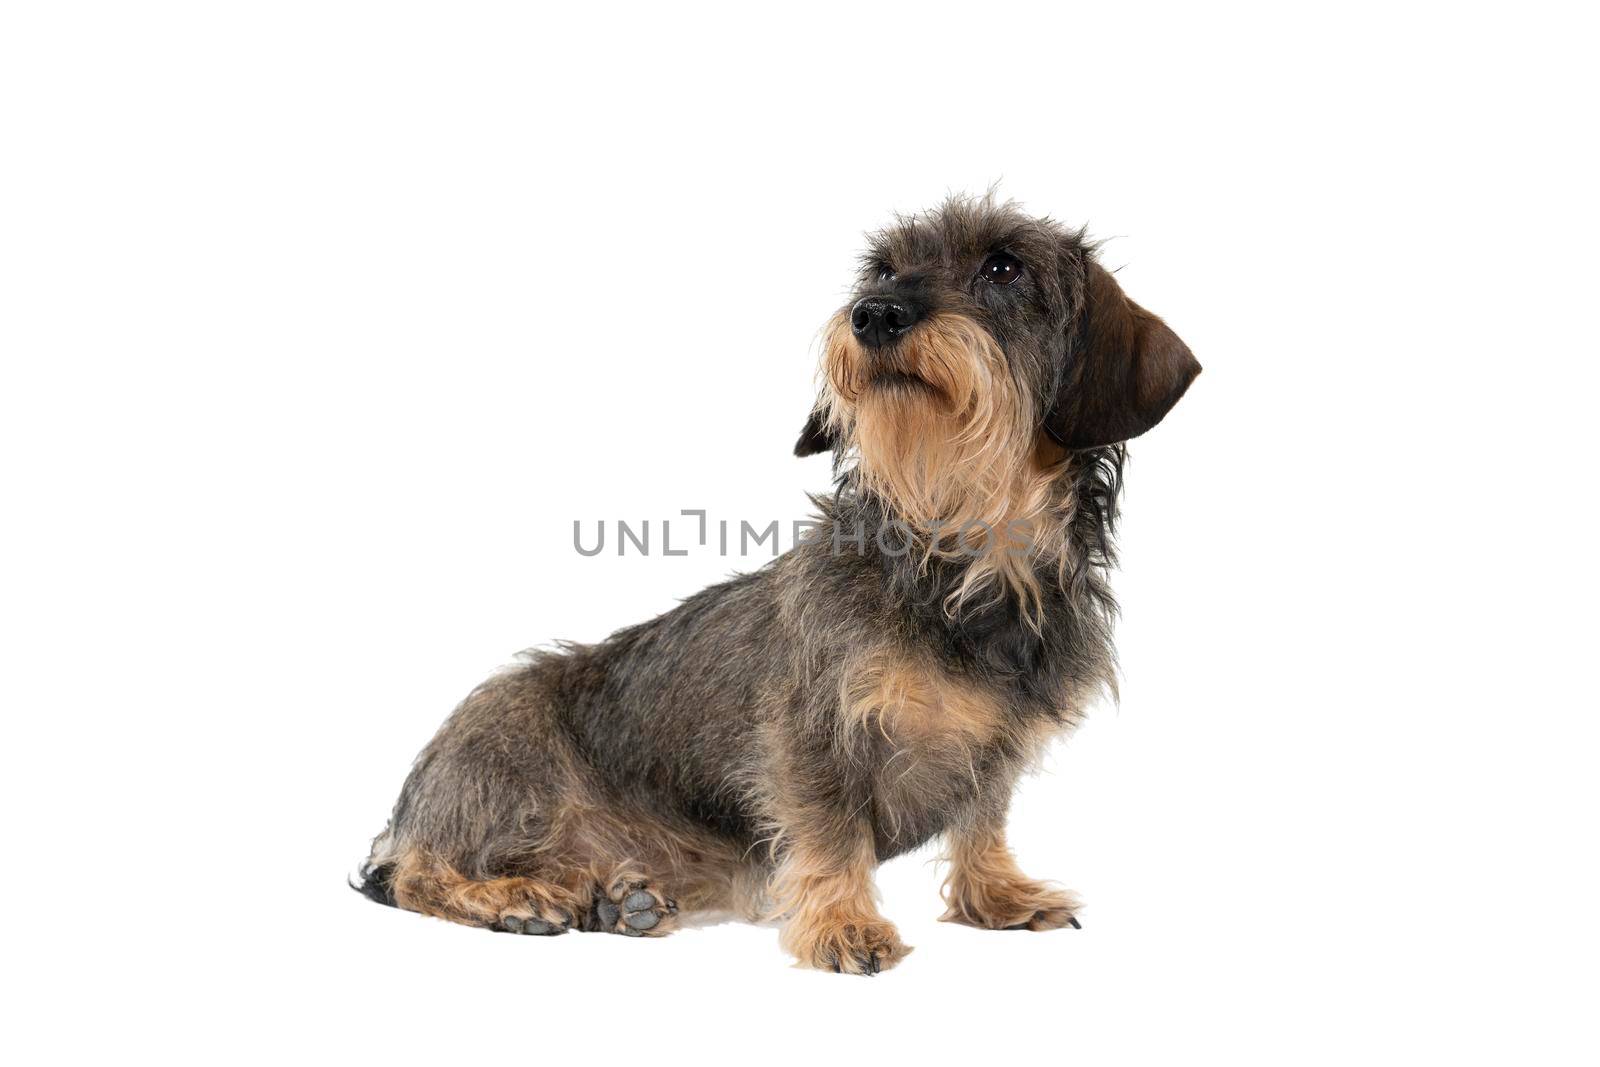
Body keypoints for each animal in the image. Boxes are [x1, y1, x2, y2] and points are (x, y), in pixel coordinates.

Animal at [353, 195, 1203, 972]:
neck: (961, 555)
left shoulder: (997, 750)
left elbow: (981, 821)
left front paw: (996, 893)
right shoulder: (812, 734)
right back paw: (516, 896)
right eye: (883, 271)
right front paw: (844, 925)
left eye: (1003, 267)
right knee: (411, 874)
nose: (873, 315)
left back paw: (612, 898)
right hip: (508, 762)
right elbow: (830, 830)